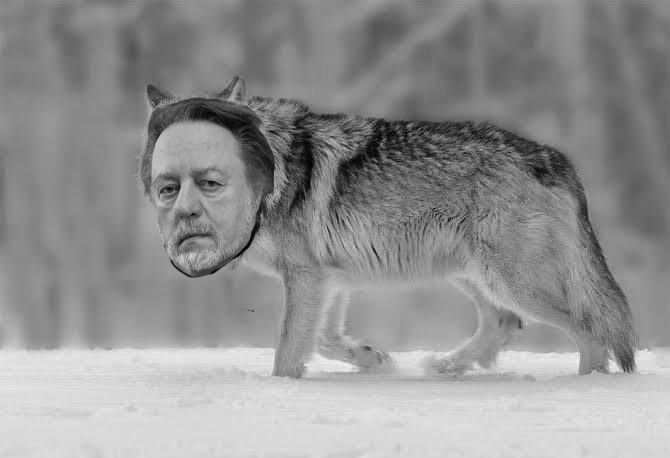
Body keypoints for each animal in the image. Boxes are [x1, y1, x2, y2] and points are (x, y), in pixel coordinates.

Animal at [141, 76, 637, 378]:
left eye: (208, 181)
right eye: (170, 186)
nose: (185, 214)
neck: (268, 174)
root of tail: (554, 158)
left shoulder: (305, 276)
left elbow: (287, 353)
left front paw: (283, 390)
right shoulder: (329, 279)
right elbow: (325, 340)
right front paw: (373, 359)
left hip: (511, 280)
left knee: (590, 329)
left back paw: (585, 386)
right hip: (469, 273)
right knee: (506, 321)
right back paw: (446, 368)